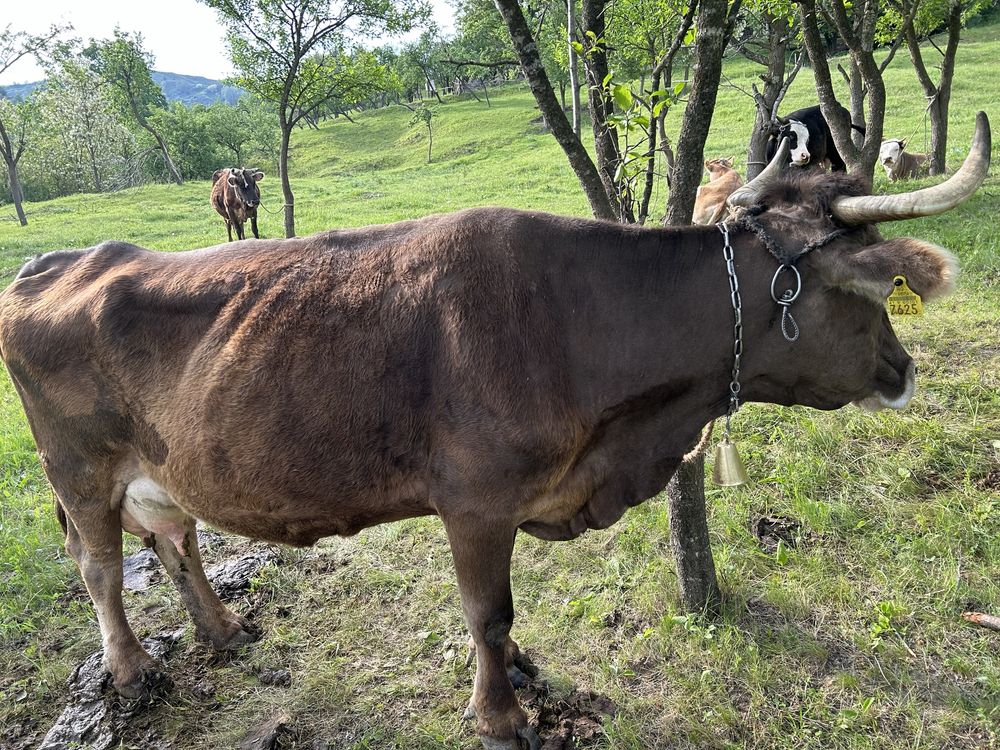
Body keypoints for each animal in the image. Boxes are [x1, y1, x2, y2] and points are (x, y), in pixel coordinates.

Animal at [0, 114, 988, 750]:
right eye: (864, 294)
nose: (902, 369)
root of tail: (61, 261)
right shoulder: (475, 502)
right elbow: (487, 610)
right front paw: (502, 716)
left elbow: (503, 621)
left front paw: (517, 672)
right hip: (78, 469)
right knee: (99, 568)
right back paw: (134, 671)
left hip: (161, 465)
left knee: (175, 540)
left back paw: (224, 629)